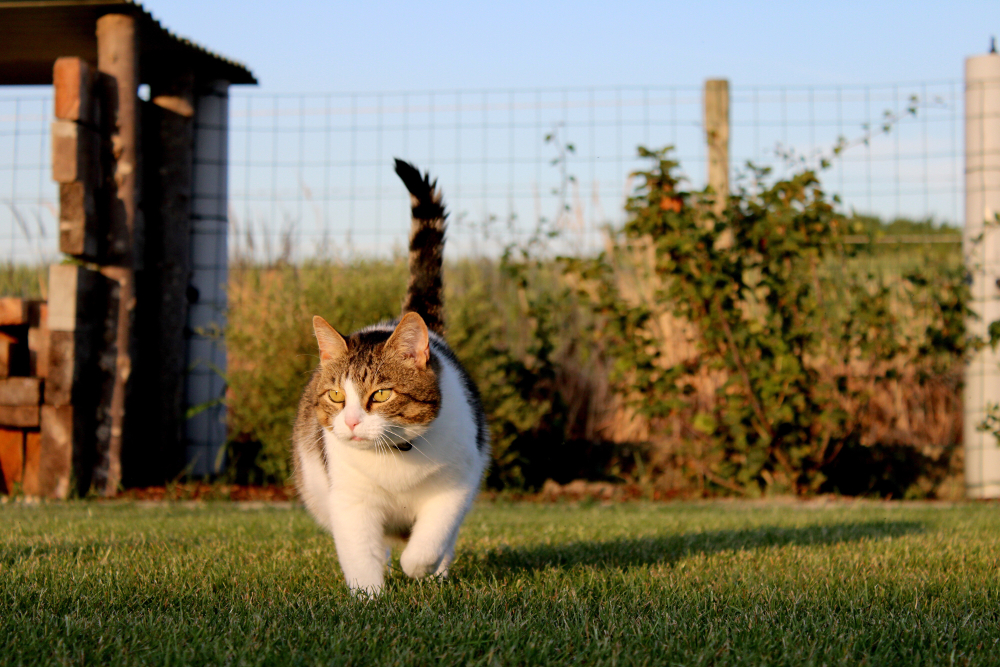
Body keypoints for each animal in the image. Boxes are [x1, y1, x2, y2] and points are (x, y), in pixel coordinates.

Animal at [292, 160, 490, 596]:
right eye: (336, 396)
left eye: (380, 395)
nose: (351, 422)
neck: (394, 456)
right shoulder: (350, 499)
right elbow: (360, 553)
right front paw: (369, 596)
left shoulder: (456, 484)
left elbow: (429, 541)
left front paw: (419, 568)